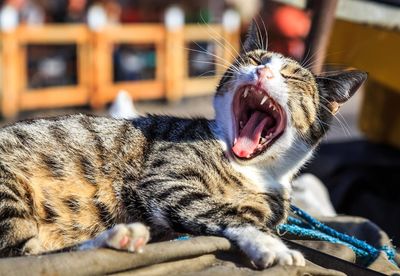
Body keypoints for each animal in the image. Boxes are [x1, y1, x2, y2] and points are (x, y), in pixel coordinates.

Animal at [0, 22, 366, 268]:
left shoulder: (267, 206)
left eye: (291, 76)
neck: (254, 171)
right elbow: (225, 212)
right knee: (23, 256)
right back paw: (117, 237)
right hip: (8, 188)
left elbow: (247, 214)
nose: (262, 71)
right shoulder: (164, 180)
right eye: (254, 59)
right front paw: (272, 247)